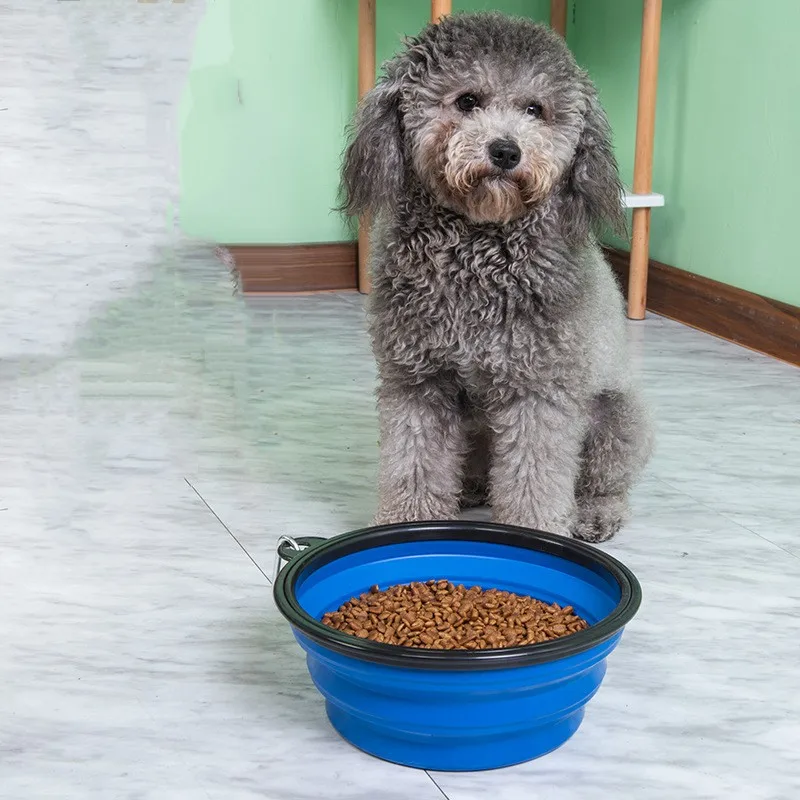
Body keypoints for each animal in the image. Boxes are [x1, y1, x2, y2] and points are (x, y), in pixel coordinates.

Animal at [340, 12, 652, 540]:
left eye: (535, 109)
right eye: (468, 101)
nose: (506, 151)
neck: (477, 253)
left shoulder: (539, 393)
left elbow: (534, 479)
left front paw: (535, 535)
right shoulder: (419, 381)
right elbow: (414, 462)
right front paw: (411, 524)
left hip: (615, 417)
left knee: (602, 482)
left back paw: (594, 514)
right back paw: (470, 490)